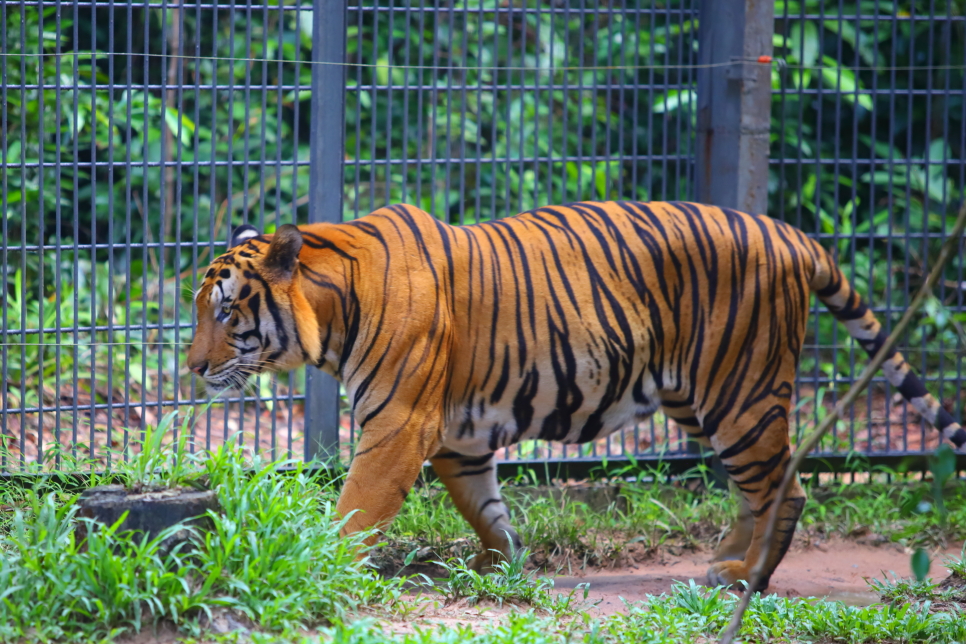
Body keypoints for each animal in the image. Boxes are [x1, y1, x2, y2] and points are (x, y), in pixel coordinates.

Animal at [185, 200, 964, 588]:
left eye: (225, 315)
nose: (191, 368)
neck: (334, 306)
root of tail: (790, 233)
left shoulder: (398, 427)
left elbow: (354, 512)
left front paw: (320, 567)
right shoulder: (458, 438)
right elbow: (486, 509)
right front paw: (502, 567)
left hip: (740, 393)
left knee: (786, 487)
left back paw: (746, 577)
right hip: (698, 399)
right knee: (757, 487)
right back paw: (723, 563)